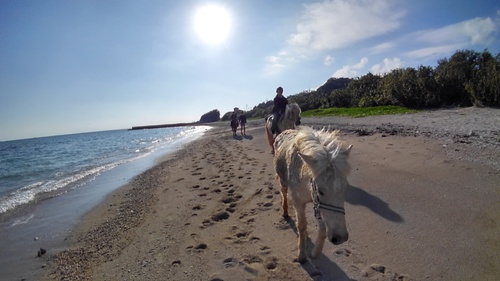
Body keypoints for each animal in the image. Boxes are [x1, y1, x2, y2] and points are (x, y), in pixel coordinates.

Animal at [274, 126, 352, 262]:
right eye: (320, 191)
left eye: (345, 188)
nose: (340, 238)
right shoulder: (298, 202)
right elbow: (301, 225)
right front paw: (301, 255)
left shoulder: (318, 205)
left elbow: (322, 229)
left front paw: (315, 252)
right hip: (282, 181)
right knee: (283, 194)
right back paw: (285, 212)